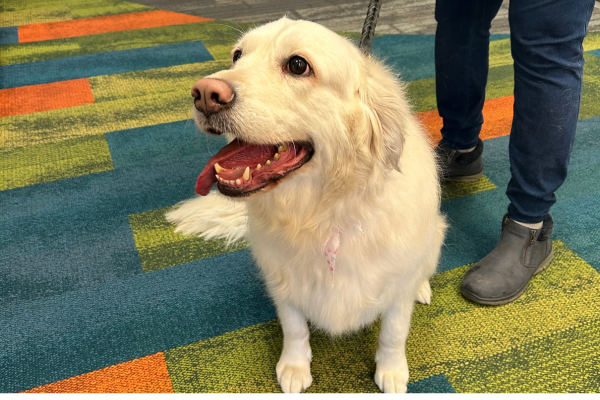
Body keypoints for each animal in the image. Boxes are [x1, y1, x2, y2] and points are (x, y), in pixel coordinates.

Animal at [166, 16, 448, 394]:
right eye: (237, 55)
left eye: (298, 65)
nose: (205, 94)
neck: (322, 213)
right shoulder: (283, 280)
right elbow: (295, 328)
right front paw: (294, 368)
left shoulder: (396, 287)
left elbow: (393, 333)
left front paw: (391, 373)